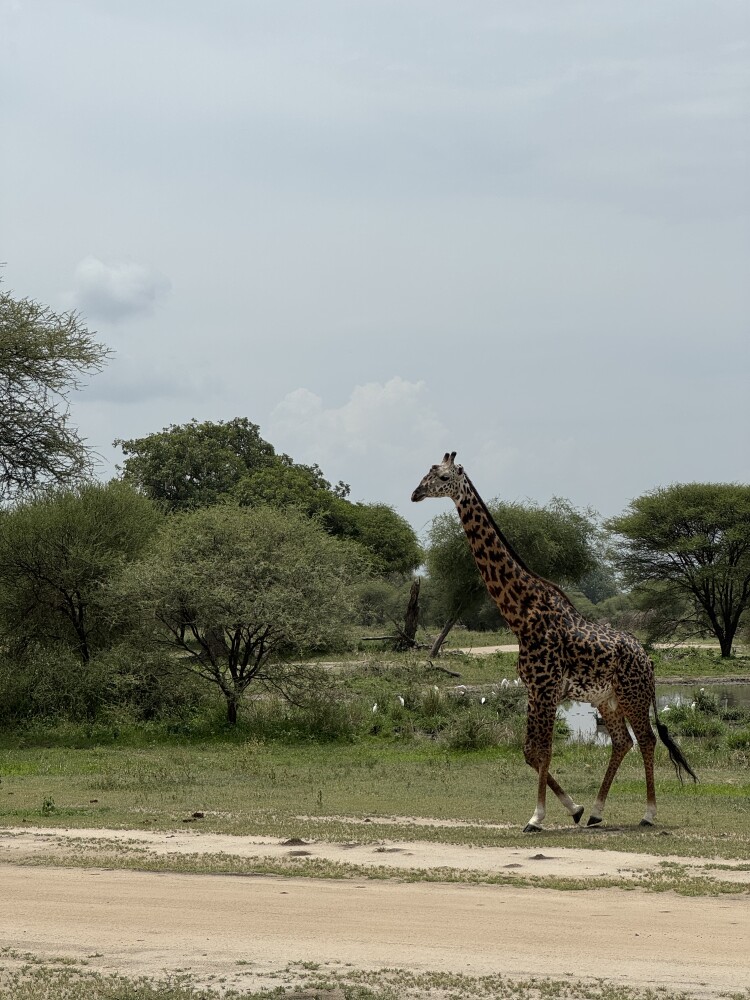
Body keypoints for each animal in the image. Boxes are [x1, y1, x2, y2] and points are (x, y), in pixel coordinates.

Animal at [412, 452, 697, 832]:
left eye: (443, 477)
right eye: (427, 472)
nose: (415, 494)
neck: (521, 613)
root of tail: (647, 659)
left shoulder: (546, 689)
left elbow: (544, 751)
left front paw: (536, 817)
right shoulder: (534, 689)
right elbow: (530, 752)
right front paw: (574, 808)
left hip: (632, 695)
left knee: (647, 739)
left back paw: (648, 814)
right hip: (606, 698)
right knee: (622, 742)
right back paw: (595, 813)